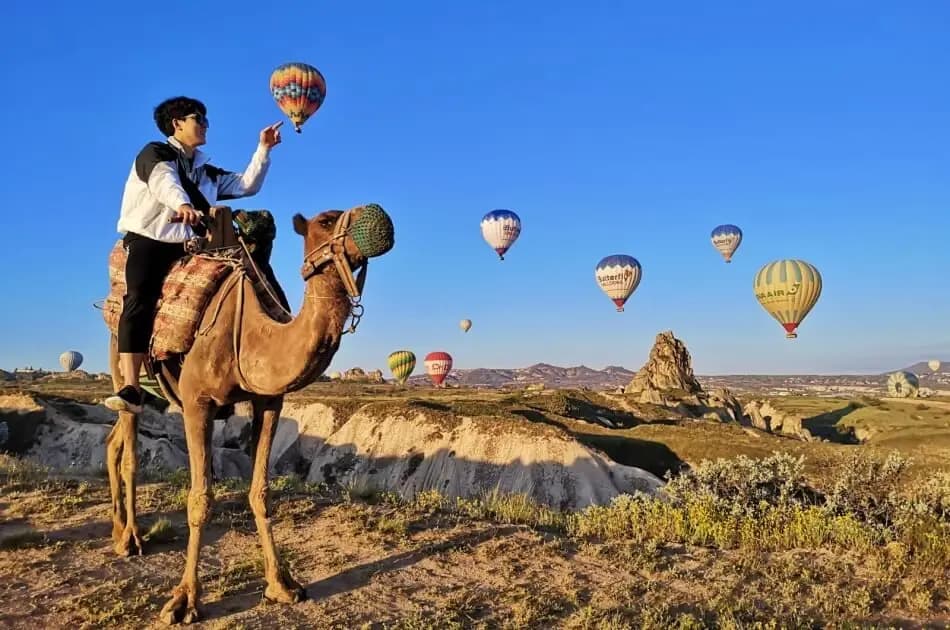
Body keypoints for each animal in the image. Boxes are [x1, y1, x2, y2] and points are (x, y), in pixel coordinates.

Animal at [105, 203, 394, 624]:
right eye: (326, 220)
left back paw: (117, 529)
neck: (253, 334)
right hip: (121, 352)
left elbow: (261, 492)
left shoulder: (270, 401)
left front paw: (281, 584)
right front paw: (184, 600)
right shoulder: (197, 401)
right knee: (129, 446)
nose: (380, 216)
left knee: (112, 442)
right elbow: (200, 499)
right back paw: (131, 537)